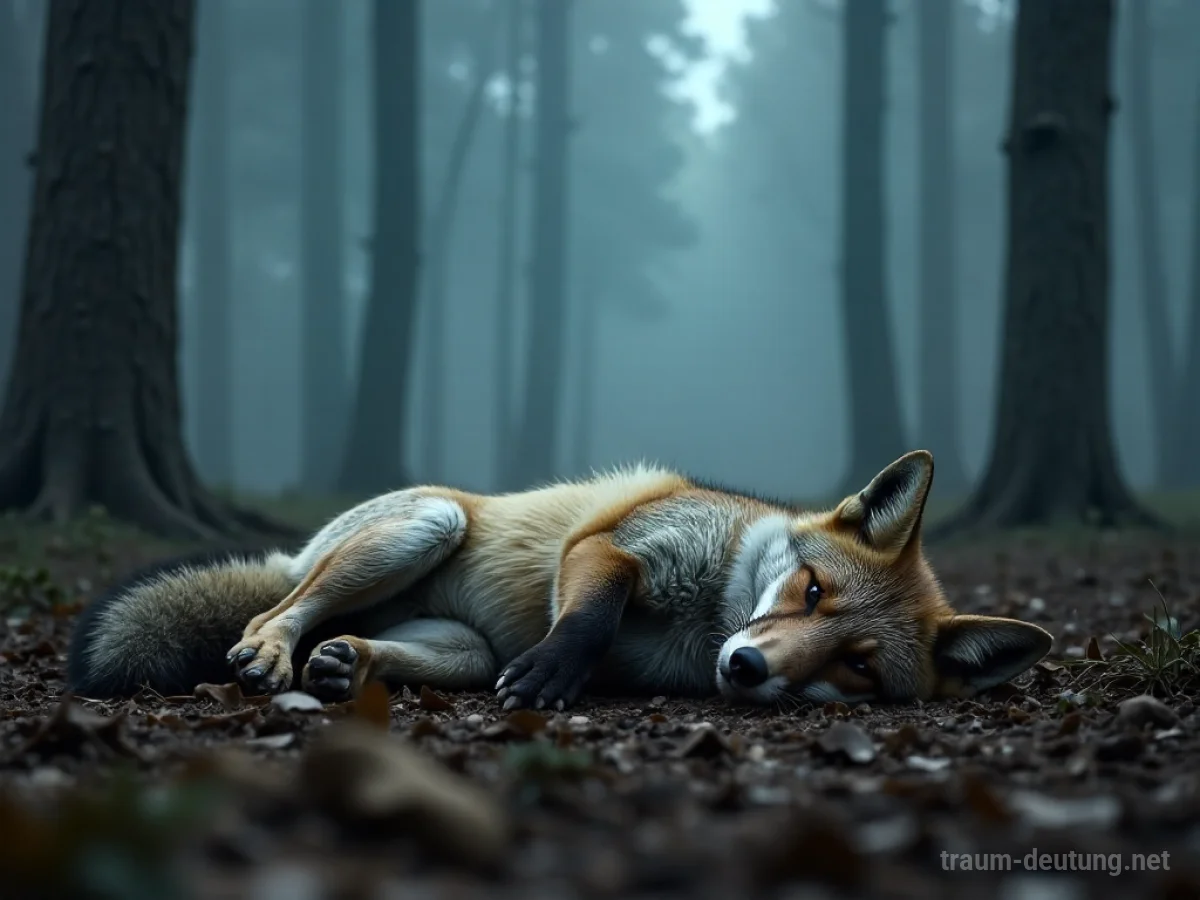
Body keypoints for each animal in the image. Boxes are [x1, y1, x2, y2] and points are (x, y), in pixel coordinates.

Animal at [66, 450, 1053, 711]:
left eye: (856, 664)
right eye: (811, 591)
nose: (745, 669)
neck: (706, 621)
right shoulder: (613, 547)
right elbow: (589, 614)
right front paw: (551, 674)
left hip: (459, 647)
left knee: (368, 643)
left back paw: (348, 662)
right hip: (428, 524)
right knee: (275, 609)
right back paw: (272, 649)